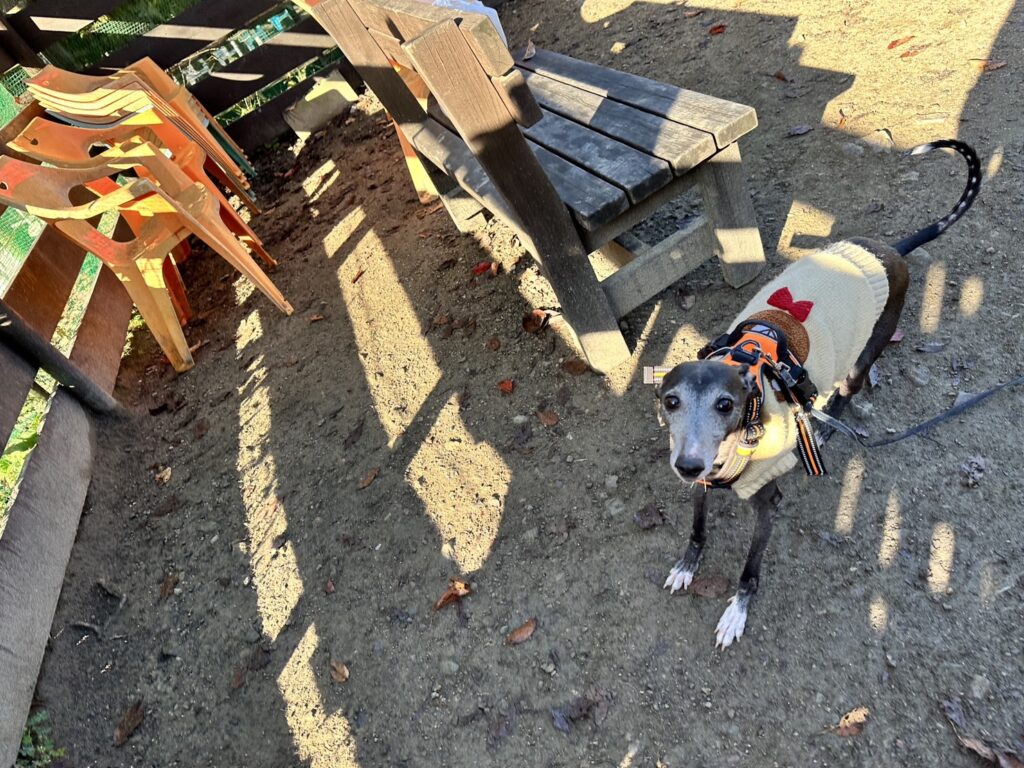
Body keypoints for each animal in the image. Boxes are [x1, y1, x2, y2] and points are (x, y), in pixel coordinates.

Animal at [656, 139, 981, 648]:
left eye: (725, 405)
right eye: (671, 402)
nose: (688, 464)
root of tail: (889, 250)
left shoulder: (767, 505)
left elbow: (749, 570)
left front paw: (737, 613)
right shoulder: (703, 486)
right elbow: (697, 527)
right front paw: (687, 566)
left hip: (865, 351)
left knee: (847, 391)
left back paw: (823, 431)